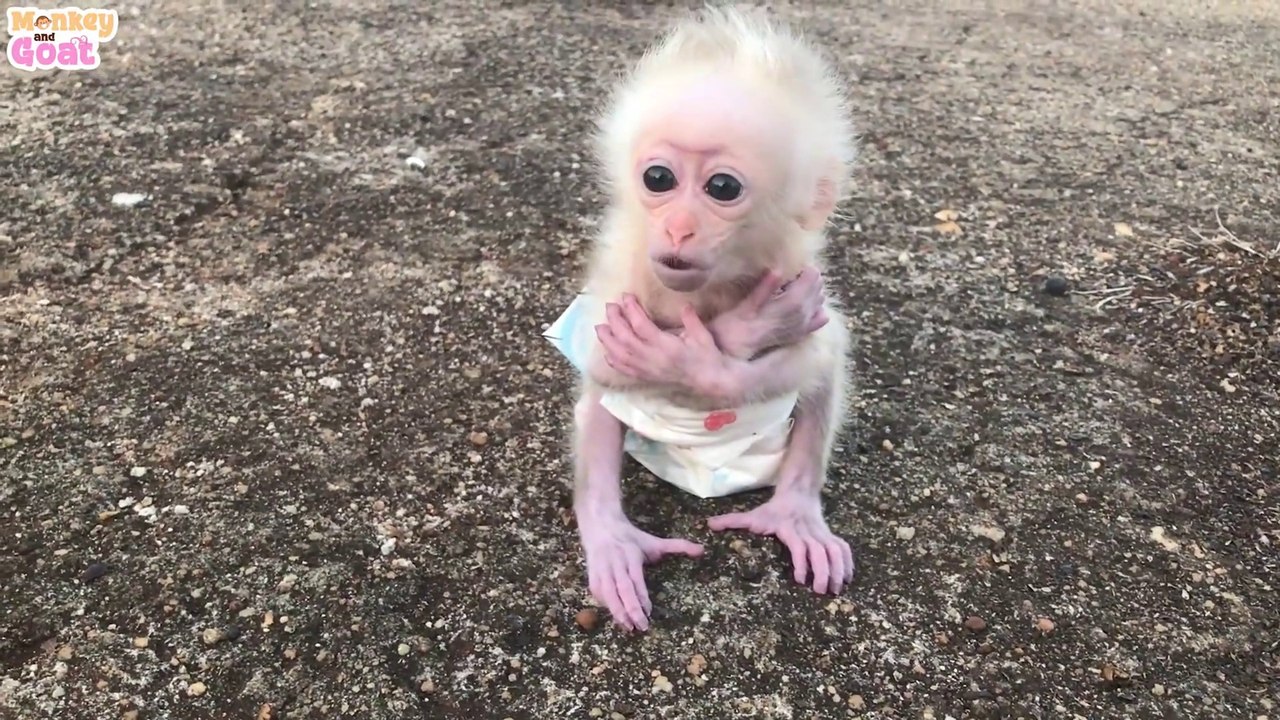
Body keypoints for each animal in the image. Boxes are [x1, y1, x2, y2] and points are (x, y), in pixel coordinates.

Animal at [559, 5, 858, 632]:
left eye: (722, 187)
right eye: (658, 179)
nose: (677, 229)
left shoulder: (793, 263)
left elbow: (819, 349)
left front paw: (708, 354)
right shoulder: (628, 263)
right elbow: (602, 356)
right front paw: (735, 335)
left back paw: (794, 511)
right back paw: (612, 538)